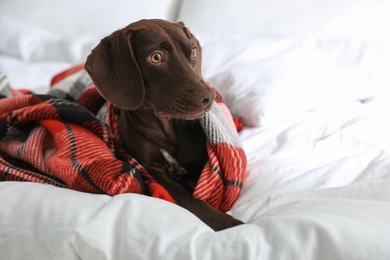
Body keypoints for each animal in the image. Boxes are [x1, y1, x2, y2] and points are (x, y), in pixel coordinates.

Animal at [85, 19, 244, 231]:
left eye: (193, 52)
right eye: (156, 57)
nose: (208, 97)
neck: (166, 127)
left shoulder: (203, 164)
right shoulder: (153, 171)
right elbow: (191, 200)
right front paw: (227, 223)